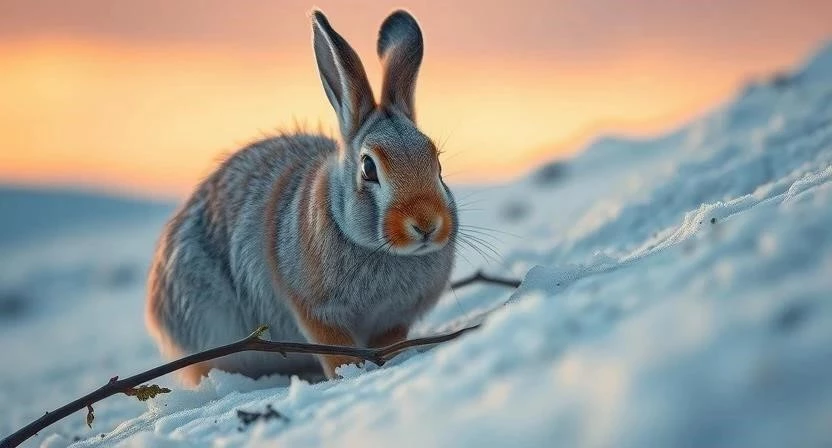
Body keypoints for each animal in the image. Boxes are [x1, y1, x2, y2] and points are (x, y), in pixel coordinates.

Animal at [145, 9, 457, 384]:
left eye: (437, 162)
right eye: (369, 168)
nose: (427, 224)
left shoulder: (394, 319)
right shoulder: (315, 310)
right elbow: (336, 347)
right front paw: (348, 374)